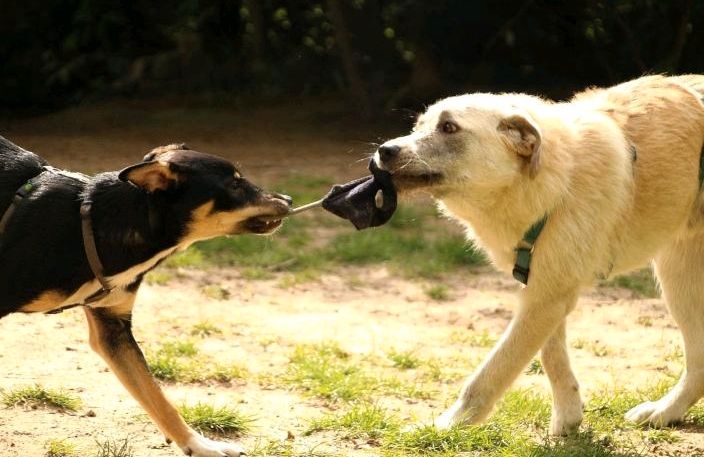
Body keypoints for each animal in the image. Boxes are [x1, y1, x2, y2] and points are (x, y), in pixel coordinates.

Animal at [0, 137, 292, 454]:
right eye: (235, 185)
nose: (288, 199)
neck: (97, 224)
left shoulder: (113, 330)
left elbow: (157, 397)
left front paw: (201, 446)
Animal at [376, 75, 704, 434]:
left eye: (449, 127)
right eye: (418, 126)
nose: (384, 151)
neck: (555, 181)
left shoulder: (546, 298)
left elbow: (492, 372)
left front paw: (445, 427)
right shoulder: (544, 290)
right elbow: (551, 356)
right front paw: (569, 417)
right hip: (679, 279)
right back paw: (665, 411)